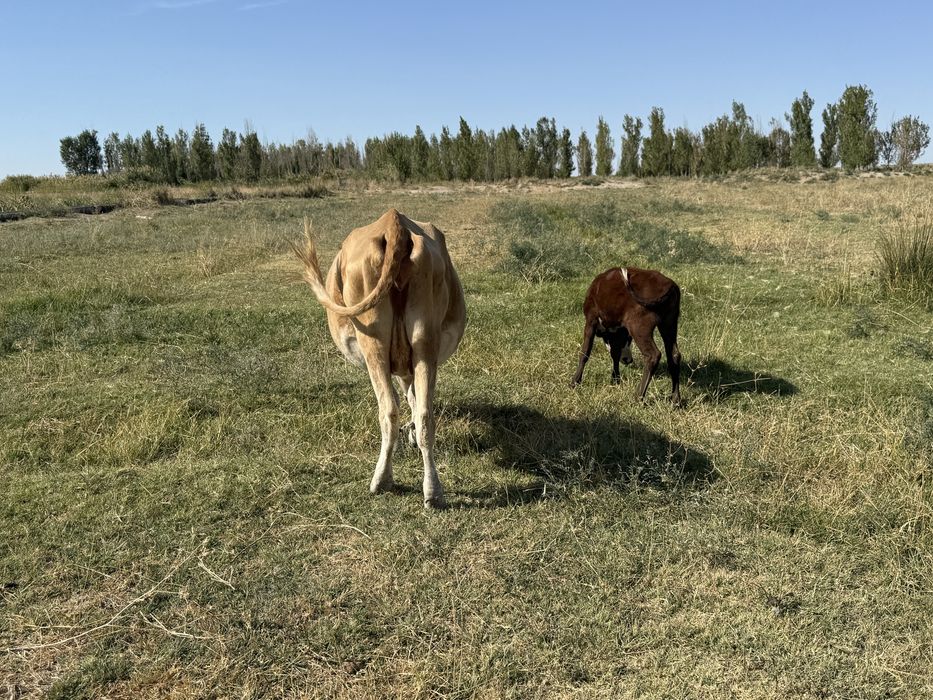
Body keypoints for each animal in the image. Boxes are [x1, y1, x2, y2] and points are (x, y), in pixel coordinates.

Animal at [294, 209, 466, 508]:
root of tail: (393, 222)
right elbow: (412, 397)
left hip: (372, 340)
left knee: (388, 409)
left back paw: (381, 481)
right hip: (425, 338)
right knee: (425, 414)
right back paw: (433, 492)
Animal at [570, 266, 682, 406]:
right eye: (627, 340)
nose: (628, 360)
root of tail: (669, 284)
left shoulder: (591, 319)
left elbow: (585, 352)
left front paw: (575, 382)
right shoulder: (619, 331)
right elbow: (615, 354)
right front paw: (615, 379)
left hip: (639, 325)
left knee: (653, 355)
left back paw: (638, 396)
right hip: (669, 323)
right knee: (674, 355)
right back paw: (675, 400)